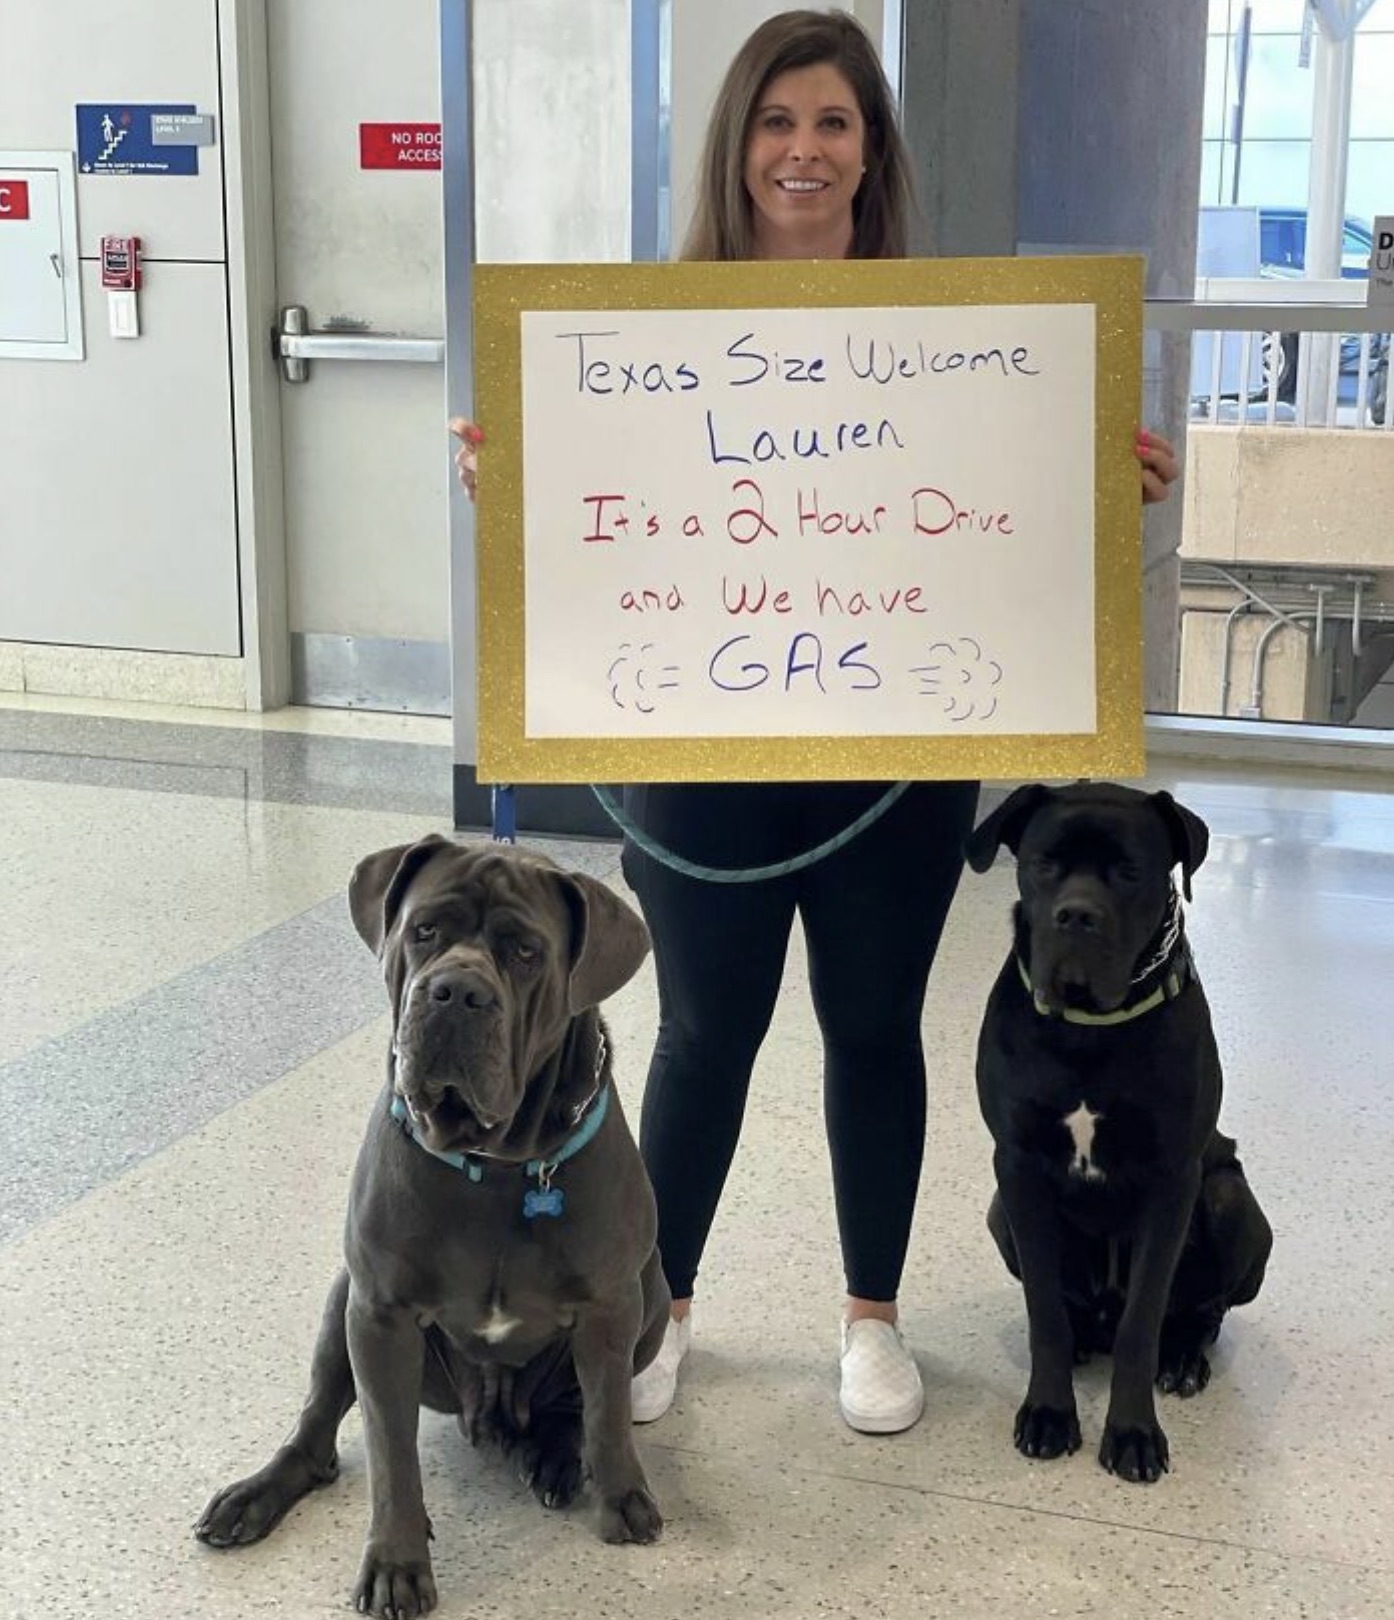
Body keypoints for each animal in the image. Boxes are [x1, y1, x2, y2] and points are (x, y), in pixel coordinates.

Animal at [196, 842, 671, 1613]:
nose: (455, 992)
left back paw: (555, 1457)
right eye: (424, 931)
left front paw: (623, 1497)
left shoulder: (611, 1304)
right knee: (317, 1430)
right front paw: (396, 1564)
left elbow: (607, 1412)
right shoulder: (381, 1316)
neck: (499, 1162)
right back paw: (253, 1496)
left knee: (572, 1405)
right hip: (344, 1301)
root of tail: (491, 1414)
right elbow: (393, 1458)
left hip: (652, 1296)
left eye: (526, 951)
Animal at [966, 780, 1277, 1483]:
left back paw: (1183, 1358)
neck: (1088, 1028)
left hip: (1229, 1199)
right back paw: (1086, 1342)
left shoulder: (1172, 1179)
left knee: (1197, 1311)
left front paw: (1134, 1434)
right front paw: (1049, 1413)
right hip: (999, 1212)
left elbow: (1143, 1320)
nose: (1077, 916)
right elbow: (1044, 1314)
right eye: (1044, 863)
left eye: (1131, 872)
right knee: (1073, 1311)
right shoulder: (1017, 1169)